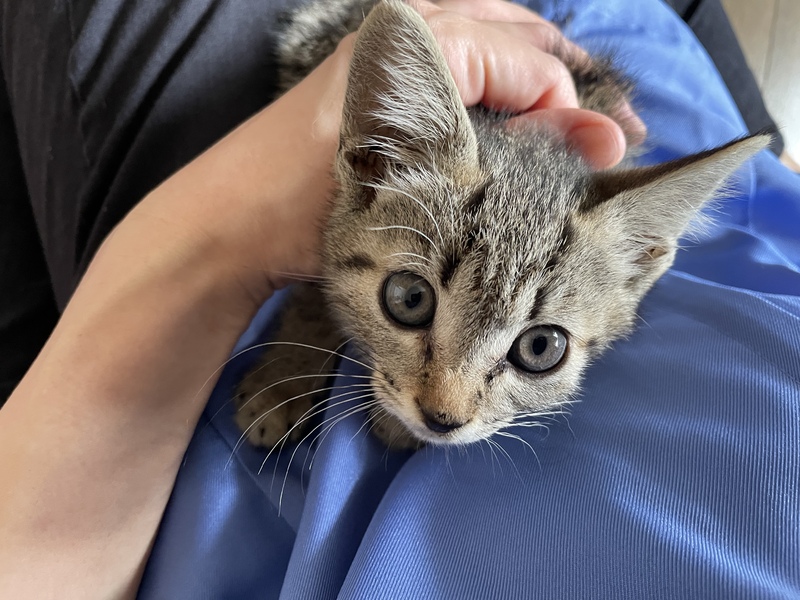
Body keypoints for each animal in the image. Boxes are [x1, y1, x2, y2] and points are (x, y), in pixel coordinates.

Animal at [234, 0, 767, 451]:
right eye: (409, 298)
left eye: (541, 348)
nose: (441, 419)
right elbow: (315, 293)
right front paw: (279, 380)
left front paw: (391, 422)